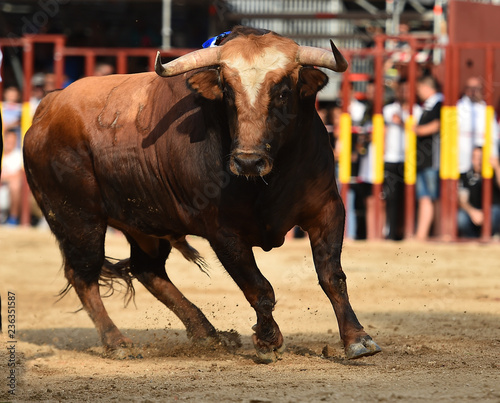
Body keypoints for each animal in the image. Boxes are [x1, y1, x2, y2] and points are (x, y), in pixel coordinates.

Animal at [21, 26, 380, 364]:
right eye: (227, 91)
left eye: (282, 91)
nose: (247, 161)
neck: (267, 182)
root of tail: (47, 109)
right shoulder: (223, 233)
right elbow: (258, 288)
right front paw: (268, 341)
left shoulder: (327, 209)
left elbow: (332, 276)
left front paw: (357, 339)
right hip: (76, 218)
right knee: (83, 274)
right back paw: (117, 342)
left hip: (144, 222)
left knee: (148, 270)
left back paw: (208, 333)